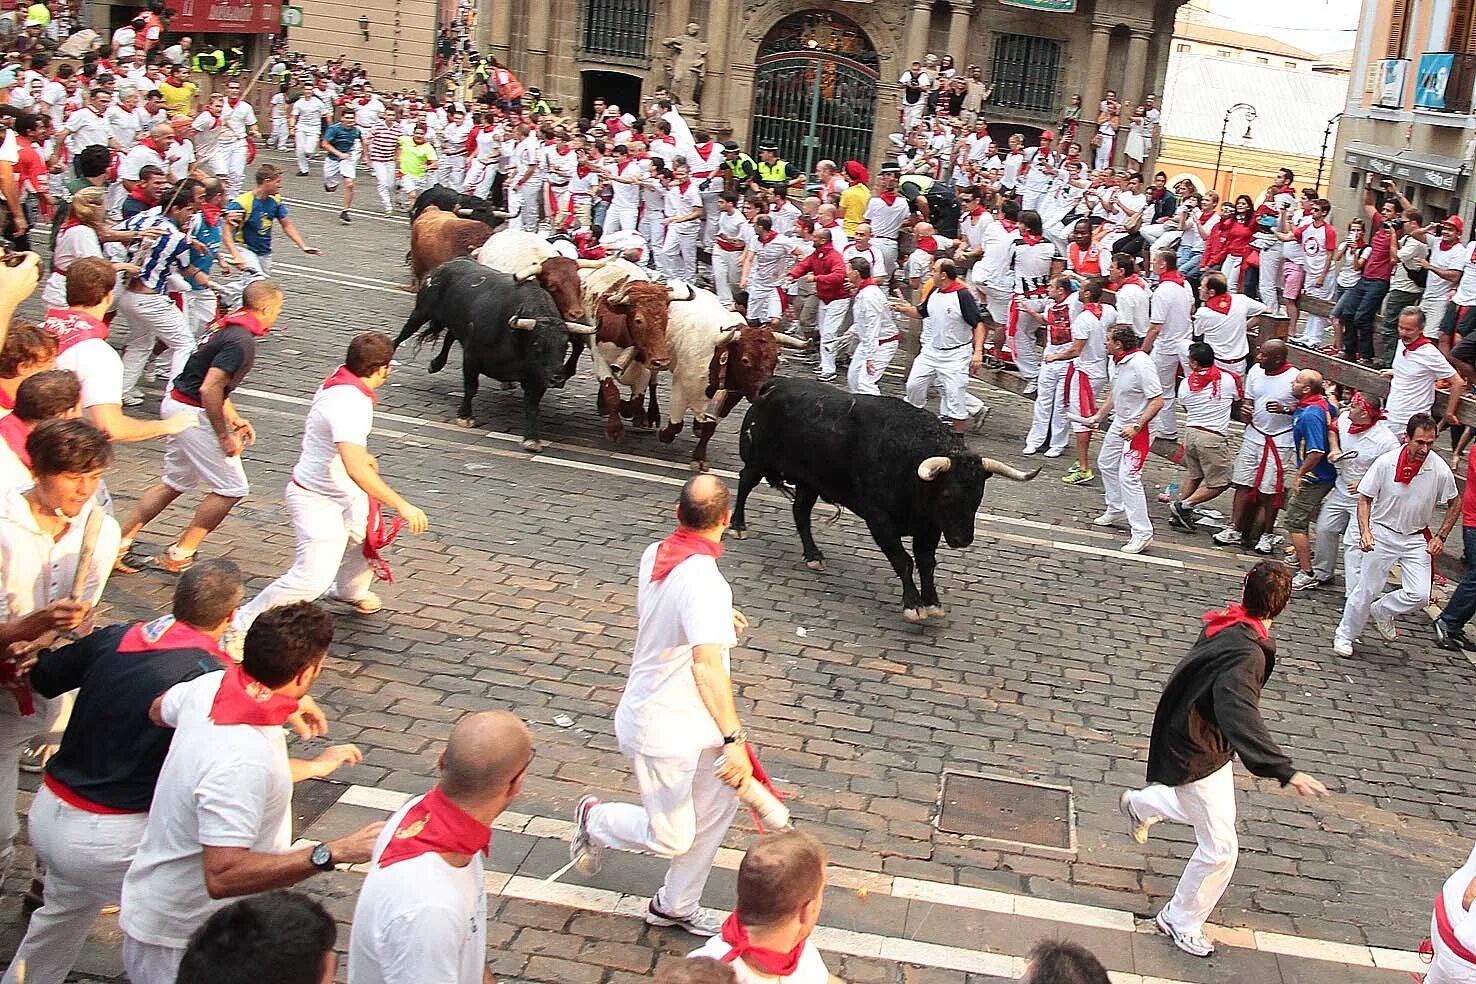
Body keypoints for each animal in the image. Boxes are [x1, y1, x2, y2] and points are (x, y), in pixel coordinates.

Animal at [398, 256, 599, 451]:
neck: (516, 338)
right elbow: (470, 388)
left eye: (564, 346)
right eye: (537, 344)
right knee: (403, 335)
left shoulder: (538, 377)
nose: (557, 378)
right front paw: (465, 416)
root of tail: (447, 265)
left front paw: (532, 439)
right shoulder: (472, 357)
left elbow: (532, 405)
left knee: (449, 337)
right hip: (420, 312)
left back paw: (435, 364)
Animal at [735, 380, 1039, 619]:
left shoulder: (929, 527)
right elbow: (903, 560)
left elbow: (926, 562)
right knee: (745, 482)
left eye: (978, 495)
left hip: (810, 482)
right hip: (758, 461)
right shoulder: (879, 519)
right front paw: (913, 605)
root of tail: (775, 385)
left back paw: (813, 556)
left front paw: (932, 601)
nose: (963, 539)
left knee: (800, 512)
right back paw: (738, 526)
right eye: (947, 493)